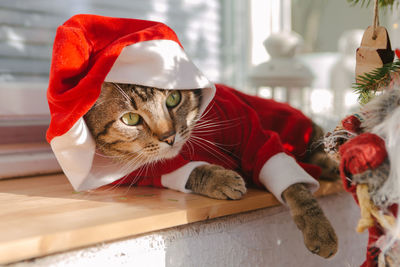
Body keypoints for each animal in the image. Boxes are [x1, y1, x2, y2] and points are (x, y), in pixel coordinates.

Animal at [84, 82, 338, 260]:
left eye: (173, 98)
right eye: (130, 118)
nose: (169, 137)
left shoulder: (252, 131)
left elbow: (296, 188)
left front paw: (319, 228)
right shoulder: (137, 171)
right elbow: (187, 170)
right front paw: (221, 179)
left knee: (316, 144)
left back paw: (332, 163)